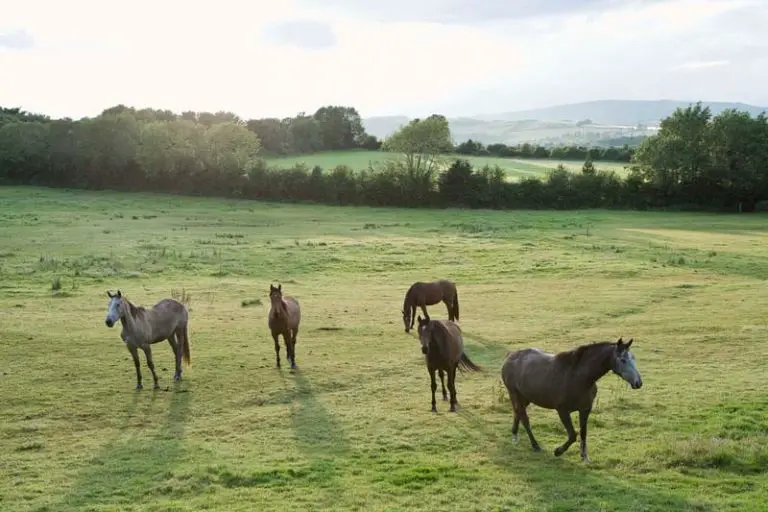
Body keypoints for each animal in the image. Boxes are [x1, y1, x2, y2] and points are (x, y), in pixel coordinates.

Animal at [500, 337, 643, 464]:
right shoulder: (562, 410)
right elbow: (573, 435)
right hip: (515, 394)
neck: (578, 377)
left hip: (525, 398)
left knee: (517, 413)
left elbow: (583, 433)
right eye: (623, 360)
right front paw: (558, 451)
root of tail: (510, 357)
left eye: (634, 358)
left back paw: (515, 435)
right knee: (524, 418)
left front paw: (584, 457)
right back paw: (535, 445)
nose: (638, 383)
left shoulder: (585, 409)